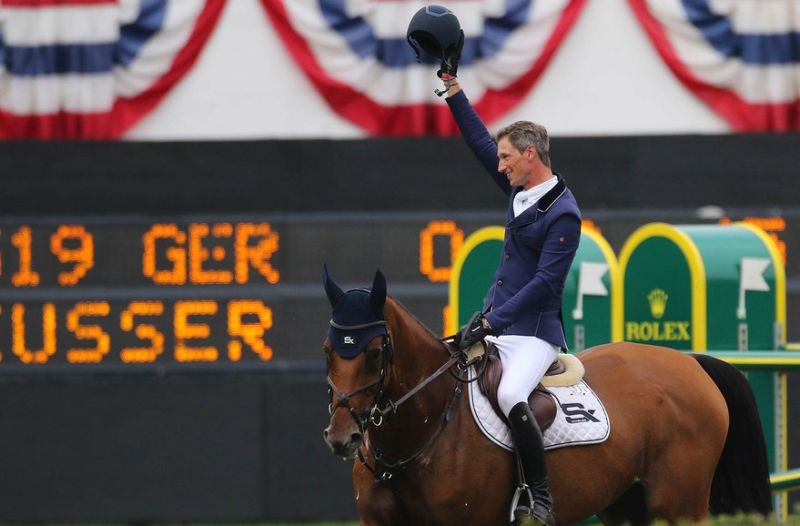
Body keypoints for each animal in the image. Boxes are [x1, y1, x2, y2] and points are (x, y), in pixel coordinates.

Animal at [322, 270, 772, 524]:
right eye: (328, 350)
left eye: (375, 352)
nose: (341, 437)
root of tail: (690, 362)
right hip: (627, 506)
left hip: (680, 504)